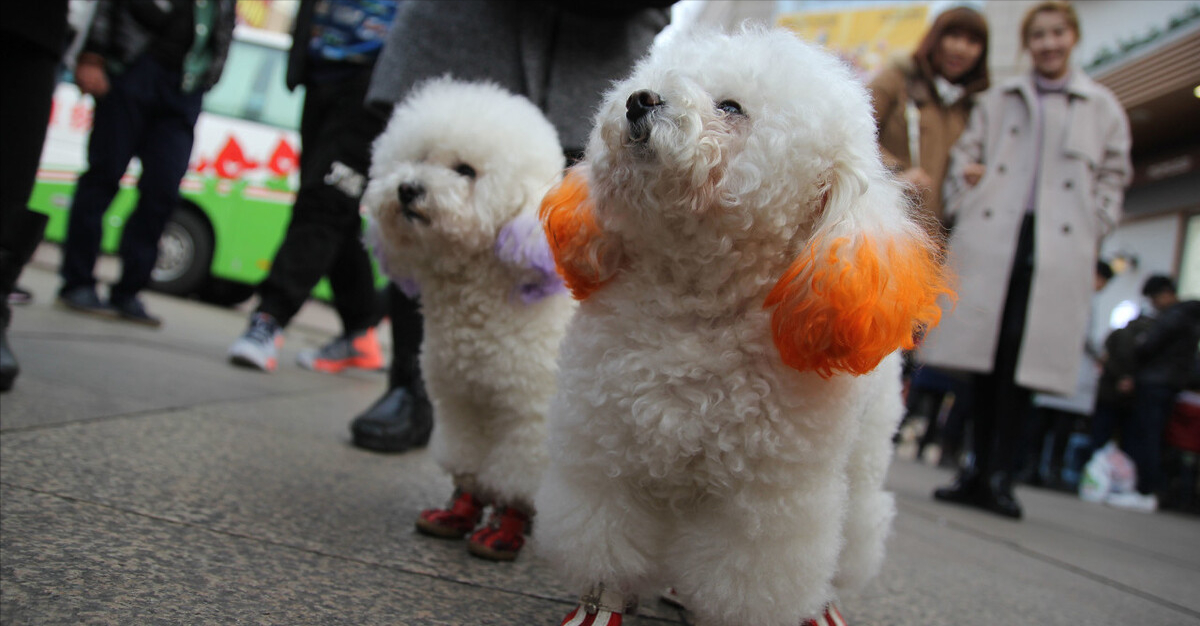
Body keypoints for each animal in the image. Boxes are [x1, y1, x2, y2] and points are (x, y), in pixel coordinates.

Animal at [362, 76, 573, 561]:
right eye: (419, 158)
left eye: (465, 171)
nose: (408, 189)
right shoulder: (462, 400)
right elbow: (468, 463)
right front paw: (457, 513)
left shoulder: (530, 414)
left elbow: (517, 480)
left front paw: (504, 531)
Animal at [535, 26, 955, 618]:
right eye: (656, 77)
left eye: (731, 107)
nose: (639, 100)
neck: (697, 307)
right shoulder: (608, 452)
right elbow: (605, 543)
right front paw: (603, 602)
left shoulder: (763, 502)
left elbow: (748, 579)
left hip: (865, 459)